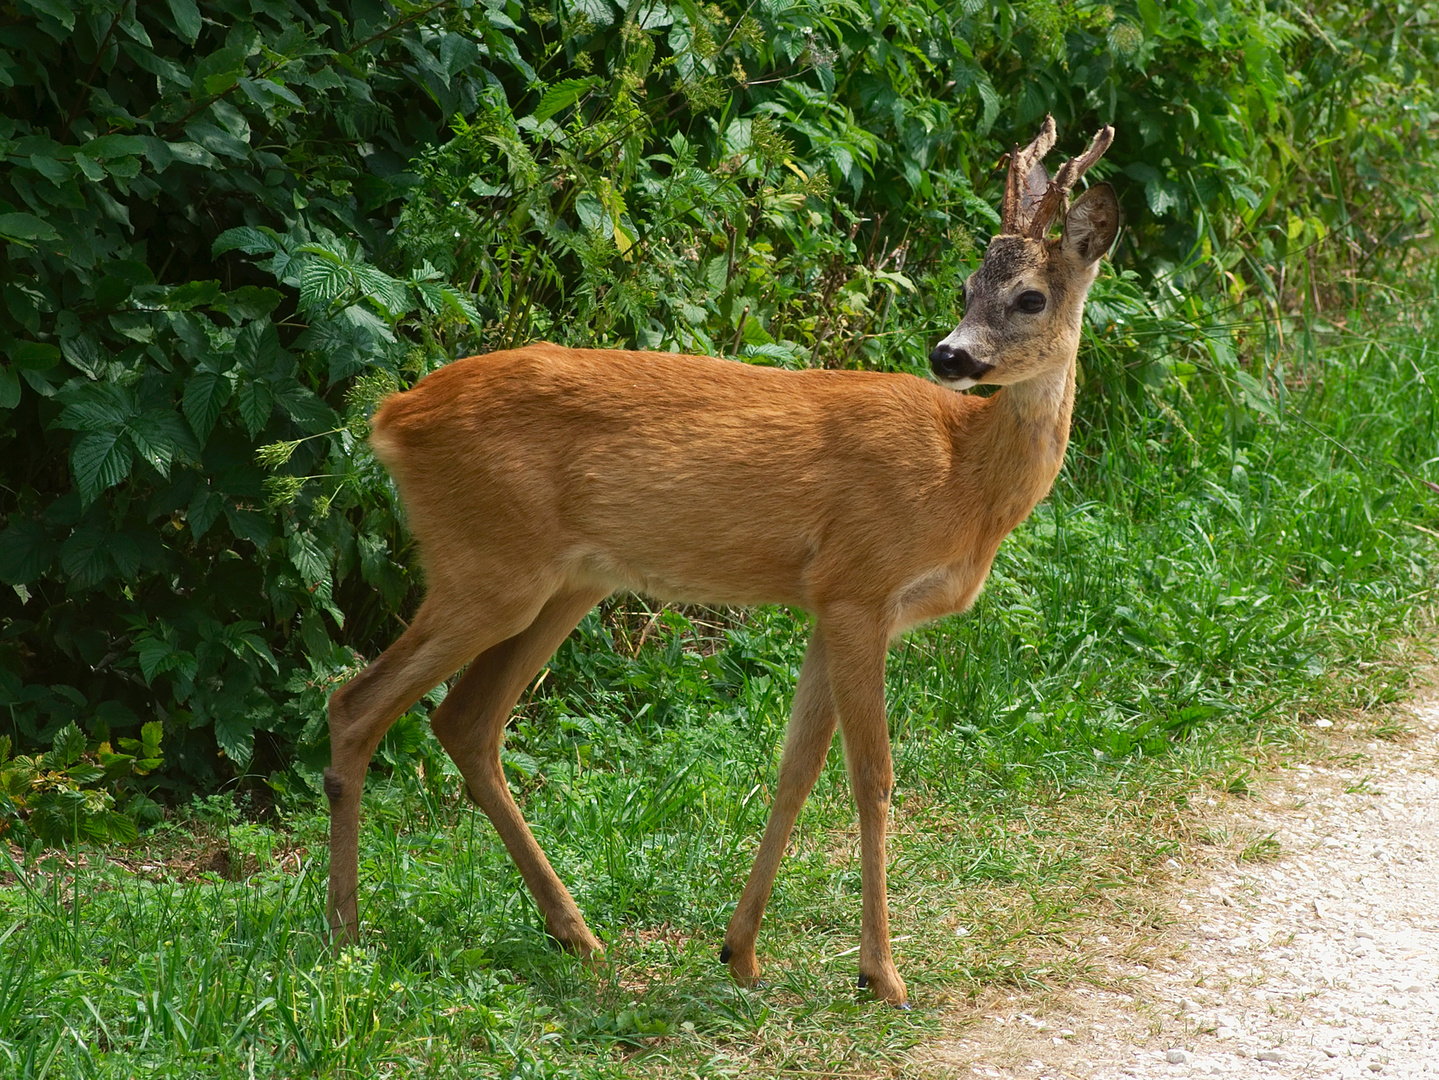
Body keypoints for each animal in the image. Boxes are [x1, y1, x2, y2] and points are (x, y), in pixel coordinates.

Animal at [320, 116, 1116, 1006]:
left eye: (1029, 296)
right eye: (968, 285)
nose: (948, 356)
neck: (960, 476)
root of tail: (392, 416)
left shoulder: (825, 602)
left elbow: (796, 769)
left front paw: (740, 951)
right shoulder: (860, 584)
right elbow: (871, 777)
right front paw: (882, 974)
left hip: (561, 582)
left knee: (463, 722)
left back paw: (575, 935)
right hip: (486, 567)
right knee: (356, 703)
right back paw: (347, 934)